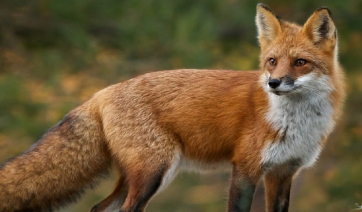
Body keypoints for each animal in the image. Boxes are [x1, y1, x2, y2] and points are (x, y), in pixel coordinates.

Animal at [0, 3, 346, 212]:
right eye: (272, 61)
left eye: (300, 63)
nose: (273, 83)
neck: (295, 123)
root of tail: (101, 93)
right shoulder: (246, 167)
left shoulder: (283, 172)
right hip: (154, 172)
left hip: (143, 175)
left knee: (99, 208)